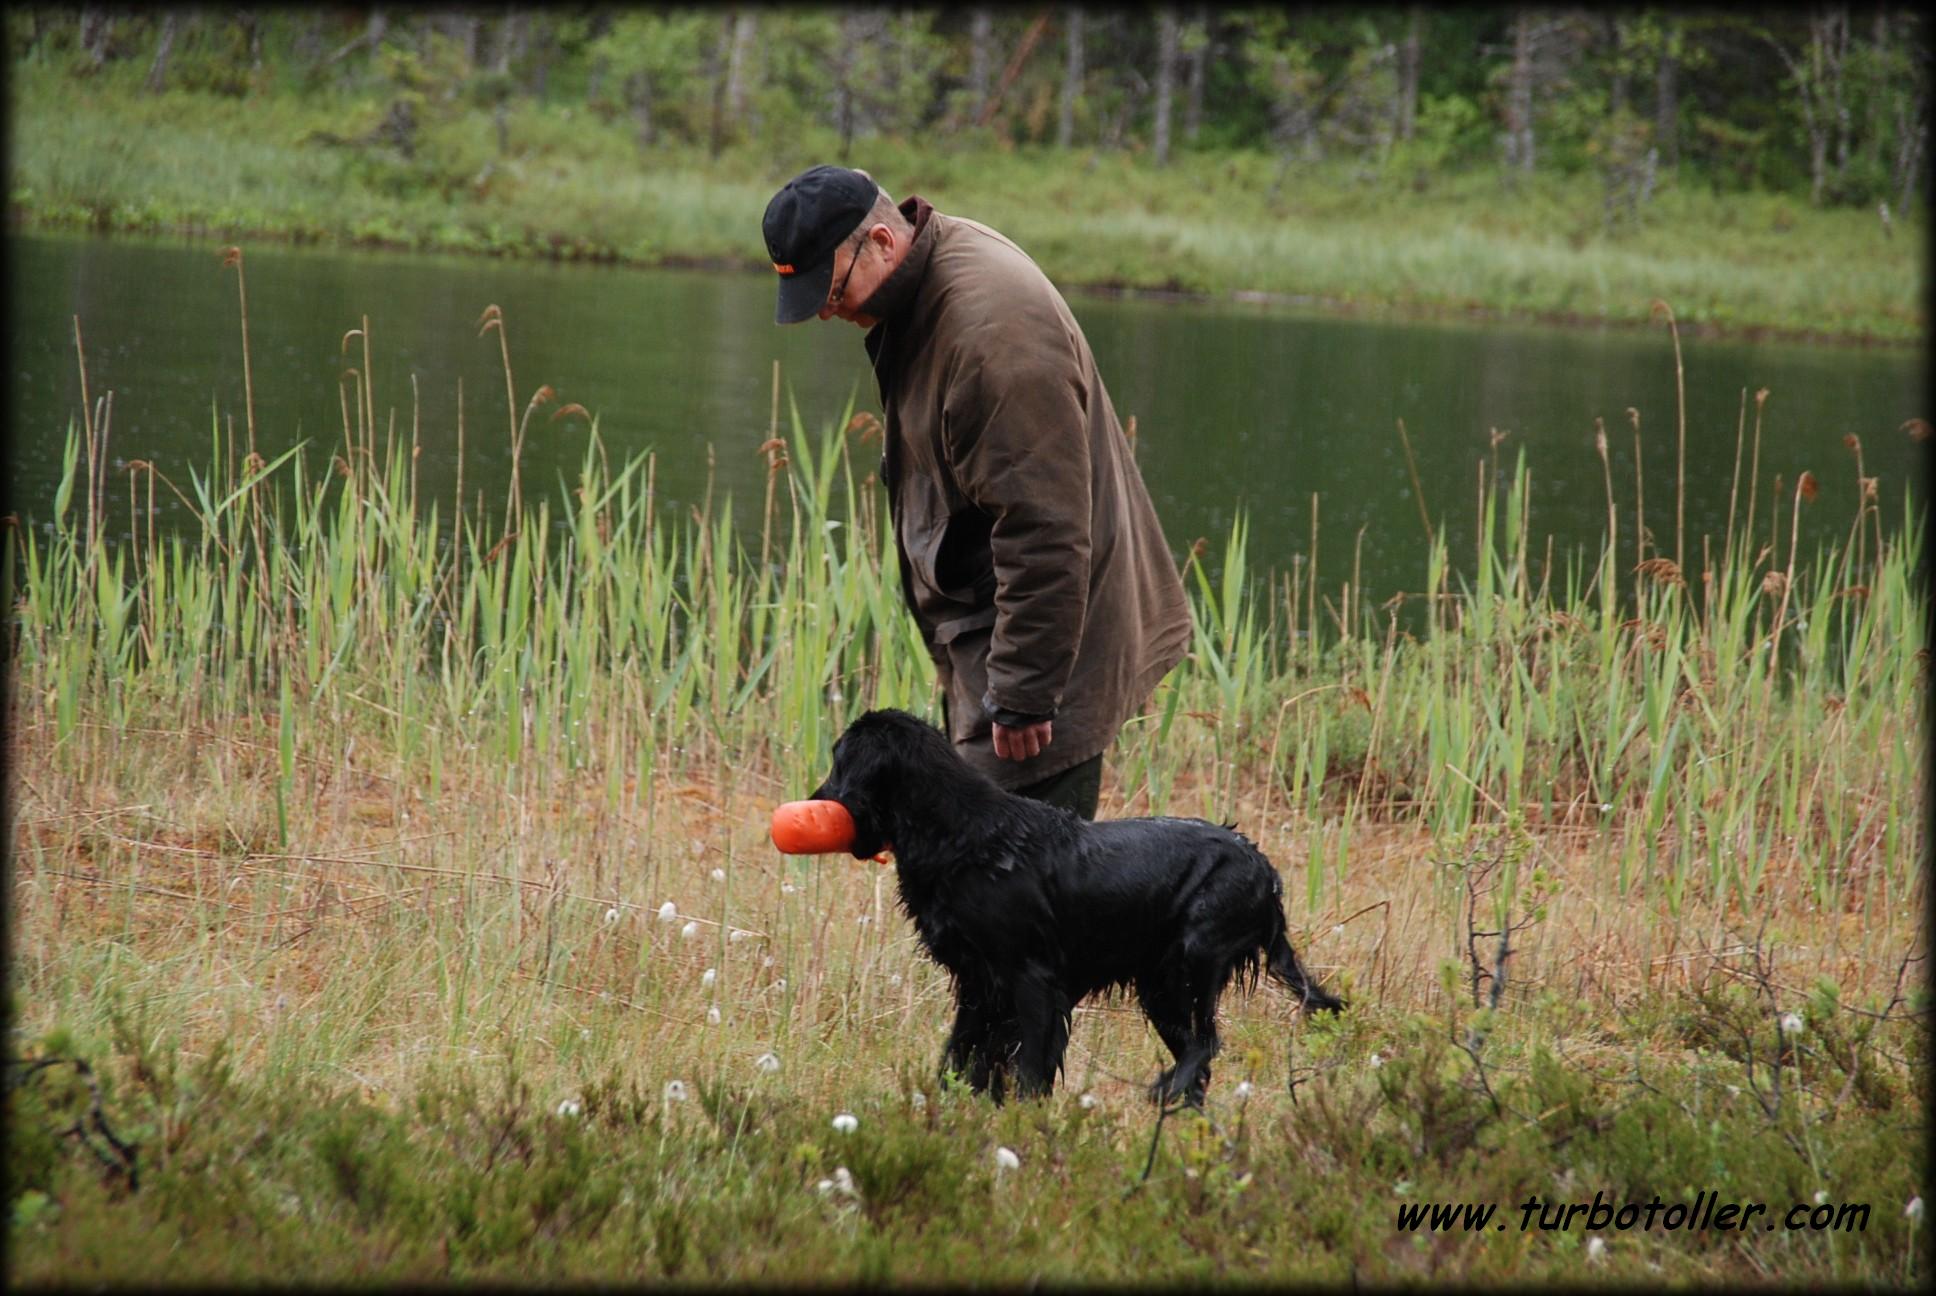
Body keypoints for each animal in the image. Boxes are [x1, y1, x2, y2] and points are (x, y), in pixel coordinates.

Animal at [805, 709, 1347, 1100]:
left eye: (838, 760)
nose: (813, 799)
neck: (964, 837)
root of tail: (1266, 869)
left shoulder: (1033, 979)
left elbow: (1029, 1067)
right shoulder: (978, 983)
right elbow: (960, 1057)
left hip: (1194, 955)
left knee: (1206, 1042)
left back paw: (1164, 1090)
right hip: (1159, 984)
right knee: (1198, 1055)